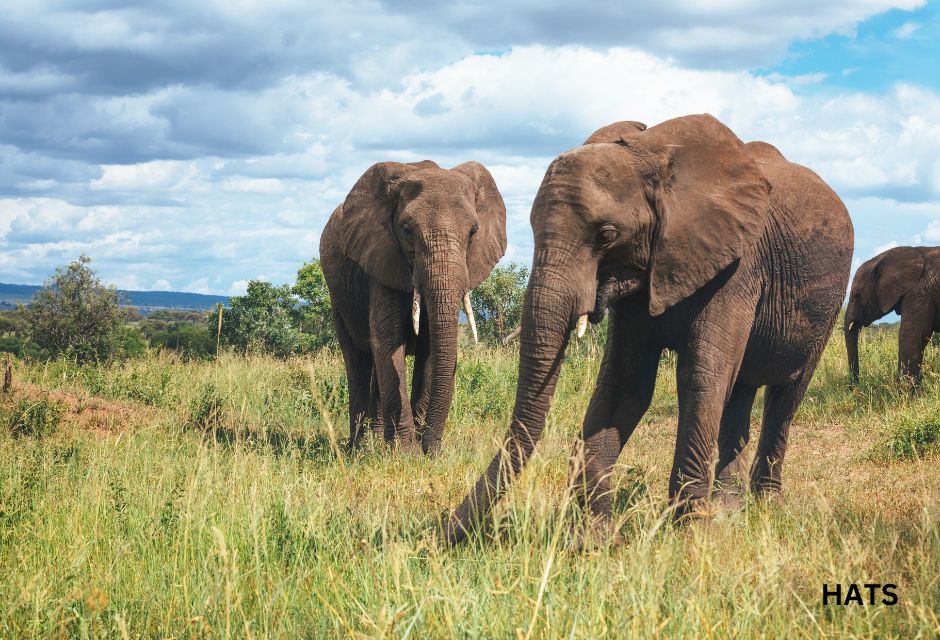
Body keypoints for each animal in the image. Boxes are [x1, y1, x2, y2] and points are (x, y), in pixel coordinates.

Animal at [320, 162, 506, 458]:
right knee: (358, 360)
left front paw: (420, 450)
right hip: (339, 296)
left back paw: (377, 442)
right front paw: (407, 453)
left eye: (473, 232)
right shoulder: (380, 259)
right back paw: (358, 449)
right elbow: (388, 344)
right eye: (407, 230)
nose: (435, 451)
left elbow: (430, 351)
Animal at [444, 115, 856, 544]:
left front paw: (686, 536)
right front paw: (593, 539)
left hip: (828, 304)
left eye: (606, 235)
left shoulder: (739, 266)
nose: (446, 531)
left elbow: (701, 378)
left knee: (785, 396)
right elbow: (625, 385)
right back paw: (728, 511)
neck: (652, 158)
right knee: (740, 391)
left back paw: (763, 506)